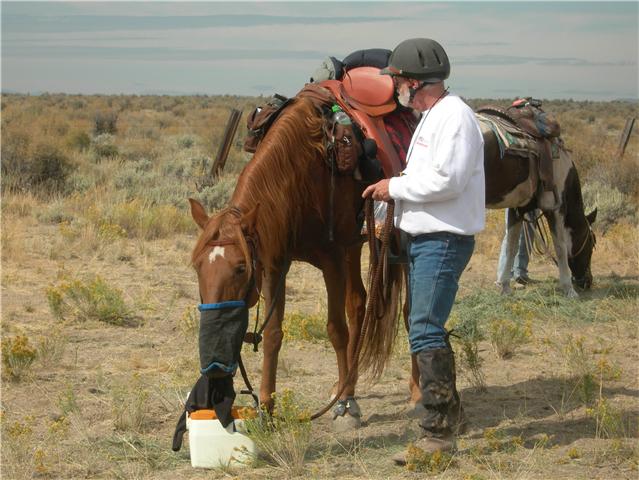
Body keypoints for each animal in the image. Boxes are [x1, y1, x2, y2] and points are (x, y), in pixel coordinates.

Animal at [188, 97, 401, 431]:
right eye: (198, 267)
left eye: (240, 268)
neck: (299, 175)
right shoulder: (274, 264)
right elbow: (273, 335)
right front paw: (266, 408)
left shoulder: (331, 260)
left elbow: (335, 330)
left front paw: (344, 405)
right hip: (354, 247)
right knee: (358, 304)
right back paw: (346, 385)